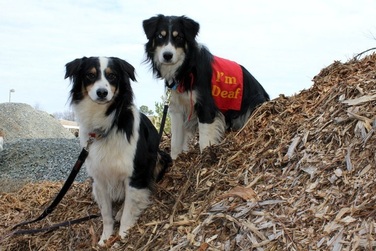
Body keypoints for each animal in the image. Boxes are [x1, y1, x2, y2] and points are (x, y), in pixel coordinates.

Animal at [65, 56, 172, 245]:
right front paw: (105, 238)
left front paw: (123, 236)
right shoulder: (99, 178)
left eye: (112, 76)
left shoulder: (135, 174)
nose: (102, 92)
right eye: (90, 75)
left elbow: (129, 211)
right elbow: (106, 214)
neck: (107, 123)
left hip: (160, 157)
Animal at [142, 14, 268, 159]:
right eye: (160, 36)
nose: (167, 55)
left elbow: (204, 140)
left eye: (179, 37)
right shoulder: (177, 108)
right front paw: (174, 161)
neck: (186, 68)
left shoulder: (205, 106)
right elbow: (175, 142)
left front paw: (205, 157)